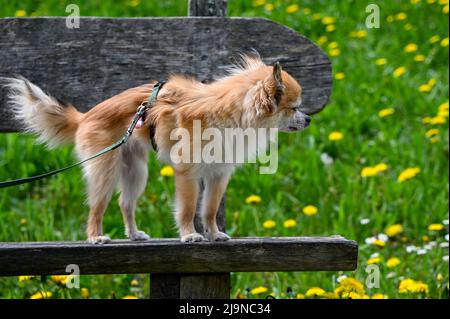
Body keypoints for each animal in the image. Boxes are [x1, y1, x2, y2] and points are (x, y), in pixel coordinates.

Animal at [3, 55, 312, 245]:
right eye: (294, 108)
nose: (308, 119)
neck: (229, 114)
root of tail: (84, 117)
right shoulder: (188, 173)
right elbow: (188, 208)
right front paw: (190, 235)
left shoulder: (218, 175)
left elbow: (210, 209)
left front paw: (213, 234)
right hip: (105, 171)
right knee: (97, 208)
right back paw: (95, 236)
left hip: (136, 172)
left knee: (125, 203)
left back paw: (133, 234)